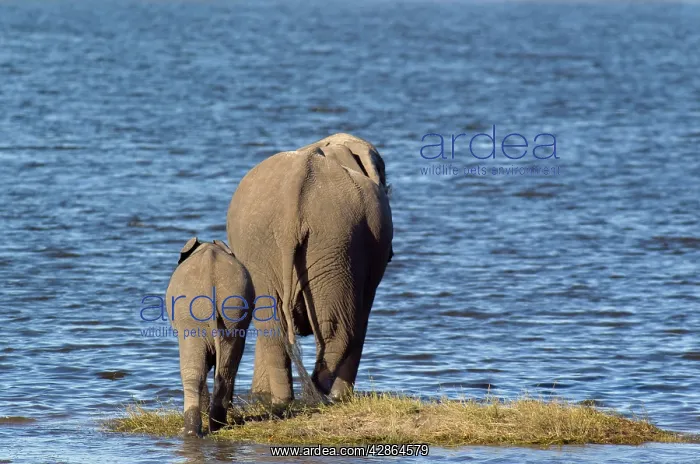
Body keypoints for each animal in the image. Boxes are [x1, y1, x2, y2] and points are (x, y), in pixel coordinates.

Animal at [165, 237, 254, 436]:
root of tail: (210, 278)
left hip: (192, 317)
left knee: (197, 370)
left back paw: (195, 429)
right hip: (233, 311)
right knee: (225, 368)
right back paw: (214, 426)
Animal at [226, 133, 393, 404]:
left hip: (263, 245)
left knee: (271, 326)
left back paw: (285, 400)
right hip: (336, 238)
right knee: (338, 329)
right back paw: (322, 395)